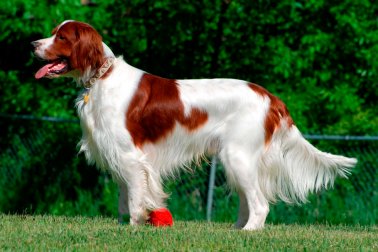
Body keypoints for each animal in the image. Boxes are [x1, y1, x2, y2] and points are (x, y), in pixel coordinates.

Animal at [32, 21, 358, 230]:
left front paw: (134, 227)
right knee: (247, 201)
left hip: (238, 157)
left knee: (260, 203)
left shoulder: (130, 156)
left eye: (61, 37)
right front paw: (124, 224)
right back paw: (235, 230)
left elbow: (136, 196)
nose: (33, 44)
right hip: (236, 160)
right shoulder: (117, 155)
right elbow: (125, 198)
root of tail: (270, 97)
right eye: (53, 34)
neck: (102, 77)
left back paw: (248, 232)